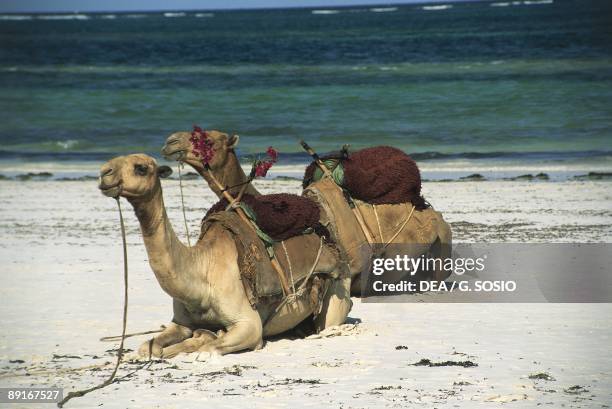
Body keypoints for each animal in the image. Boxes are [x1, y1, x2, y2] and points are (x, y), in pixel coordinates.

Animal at [98, 153, 352, 356]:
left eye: (141, 168)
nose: (104, 173)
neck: (202, 273)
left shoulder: (249, 324)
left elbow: (209, 347)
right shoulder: (180, 322)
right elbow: (148, 346)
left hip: (337, 290)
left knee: (331, 323)